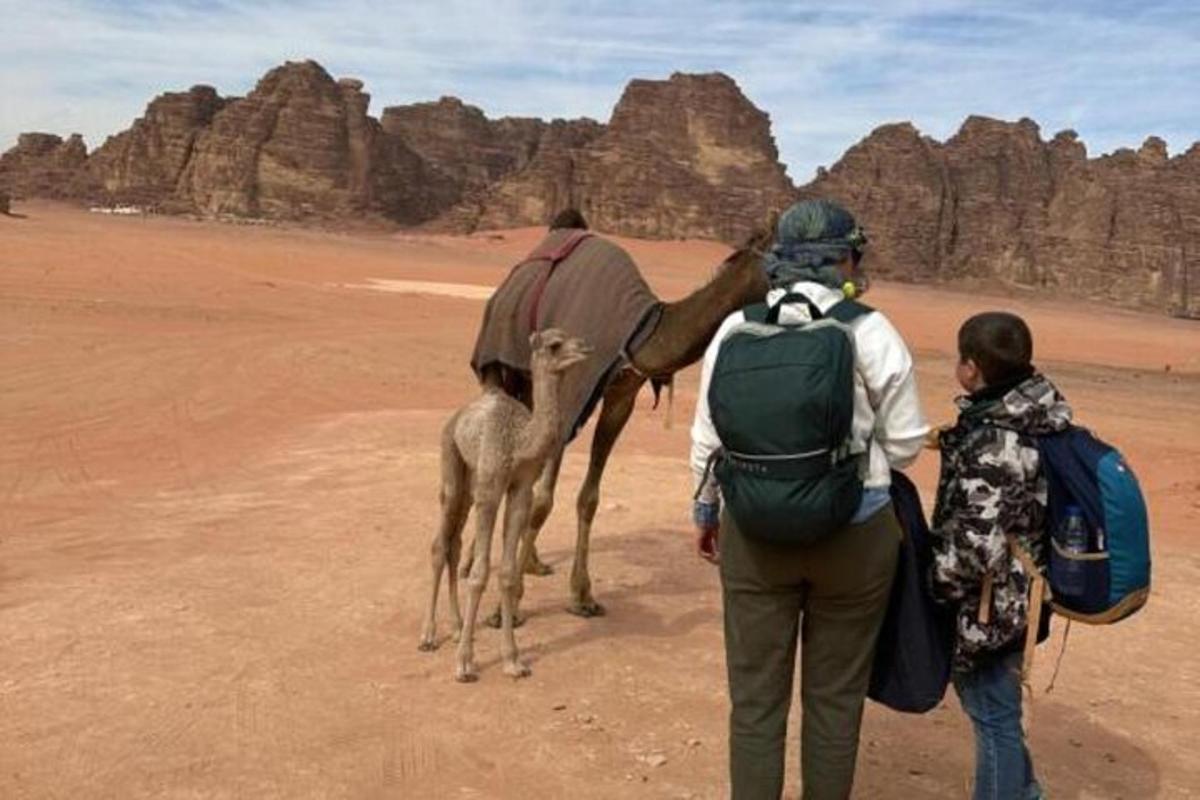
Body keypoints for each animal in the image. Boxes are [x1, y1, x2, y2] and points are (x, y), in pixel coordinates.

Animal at [420, 328, 592, 681]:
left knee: (454, 543)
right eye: (554, 345)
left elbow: (509, 574)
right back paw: (429, 635)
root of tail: (458, 416)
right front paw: (465, 664)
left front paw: (513, 661)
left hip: (470, 483)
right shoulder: (490, 489)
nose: (584, 348)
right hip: (451, 463)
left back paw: (457, 627)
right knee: (439, 543)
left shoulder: (520, 490)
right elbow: (479, 573)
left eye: (570, 337)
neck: (519, 443)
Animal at [465, 212, 768, 618]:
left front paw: (582, 595)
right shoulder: (570, 392)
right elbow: (543, 500)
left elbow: (588, 498)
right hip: (502, 370)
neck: (638, 334)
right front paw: (507, 607)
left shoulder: (621, 398)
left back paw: (533, 561)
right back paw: (473, 561)